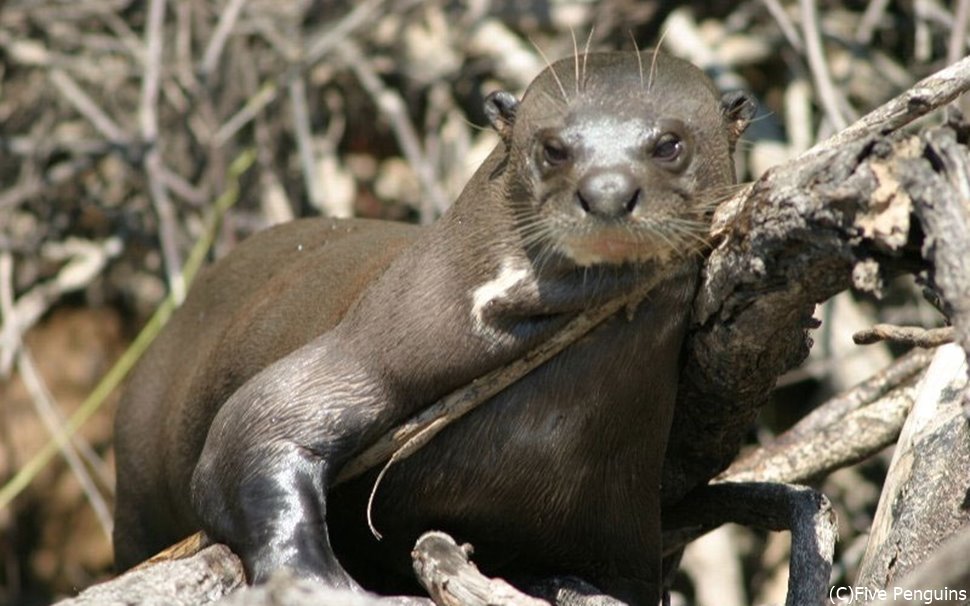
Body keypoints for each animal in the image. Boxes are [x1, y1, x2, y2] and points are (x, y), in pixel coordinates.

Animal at [111, 52, 748, 606]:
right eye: (553, 148)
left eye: (669, 144)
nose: (609, 192)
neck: (537, 428)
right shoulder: (366, 352)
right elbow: (247, 439)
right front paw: (328, 585)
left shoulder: (623, 536)